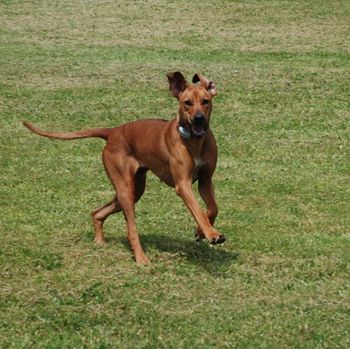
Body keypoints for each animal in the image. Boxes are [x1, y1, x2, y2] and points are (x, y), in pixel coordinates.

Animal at [23, 70, 226, 262]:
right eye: (187, 103)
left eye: (205, 101)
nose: (199, 118)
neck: (194, 141)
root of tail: (112, 132)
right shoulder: (182, 184)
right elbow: (197, 209)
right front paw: (211, 233)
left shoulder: (205, 180)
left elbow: (212, 209)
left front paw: (201, 231)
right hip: (125, 188)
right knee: (131, 230)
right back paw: (141, 258)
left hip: (134, 189)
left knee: (98, 213)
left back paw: (99, 241)